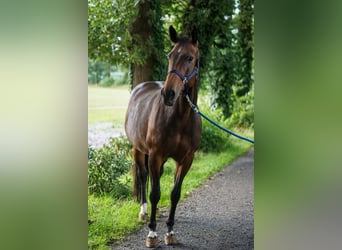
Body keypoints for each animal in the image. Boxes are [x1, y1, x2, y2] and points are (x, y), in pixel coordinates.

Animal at [125, 25, 200, 248]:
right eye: (170, 55)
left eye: (190, 57)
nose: (168, 94)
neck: (181, 117)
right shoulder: (155, 154)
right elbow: (155, 193)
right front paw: (152, 234)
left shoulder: (186, 159)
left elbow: (175, 194)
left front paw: (170, 231)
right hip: (138, 150)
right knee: (143, 176)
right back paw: (144, 211)